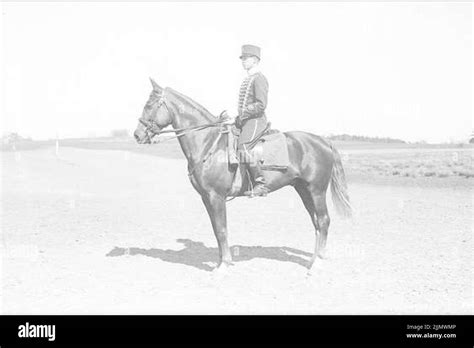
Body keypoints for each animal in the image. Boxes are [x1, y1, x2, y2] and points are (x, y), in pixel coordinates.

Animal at [133, 77, 352, 274]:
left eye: (149, 105)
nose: (137, 135)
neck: (209, 143)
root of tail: (323, 141)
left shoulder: (216, 196)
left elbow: (222, 229)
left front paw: (224, 265)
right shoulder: (207, 198)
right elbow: (216, 229)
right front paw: (221, 262)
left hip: (316, 190)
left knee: (323, 221)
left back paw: (317, 263)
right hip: (303, 190)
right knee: (316, 223)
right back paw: (314, 259)